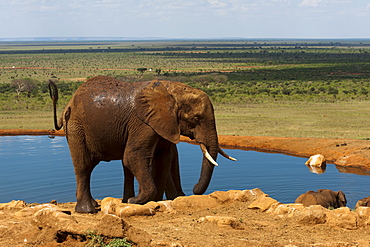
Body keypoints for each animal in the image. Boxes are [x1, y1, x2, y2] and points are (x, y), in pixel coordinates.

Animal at [49, 75, 236, 212]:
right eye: (196, 119)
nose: (195, 188)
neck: (172, 90)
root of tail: (68, 103)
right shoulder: (143, 123)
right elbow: (133, 156)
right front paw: (137, 201)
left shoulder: (164, 124)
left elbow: (162, 159)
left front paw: (153, 201)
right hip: (76, 126)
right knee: (84, 166)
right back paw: (88, 210)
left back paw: (107, 203)